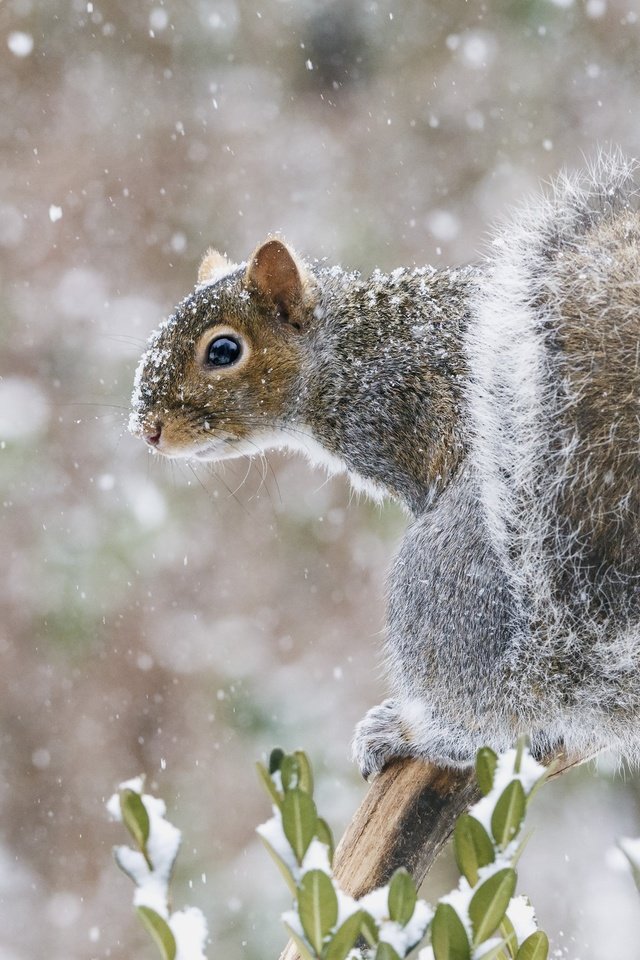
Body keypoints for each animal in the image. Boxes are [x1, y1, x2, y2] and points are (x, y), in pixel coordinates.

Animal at [127, 152, 640, 780]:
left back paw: (410, 733)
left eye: (223, 351)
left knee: (492, 718)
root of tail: (569, 660)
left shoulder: (400, 412)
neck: (346, 348)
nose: (146, 430)